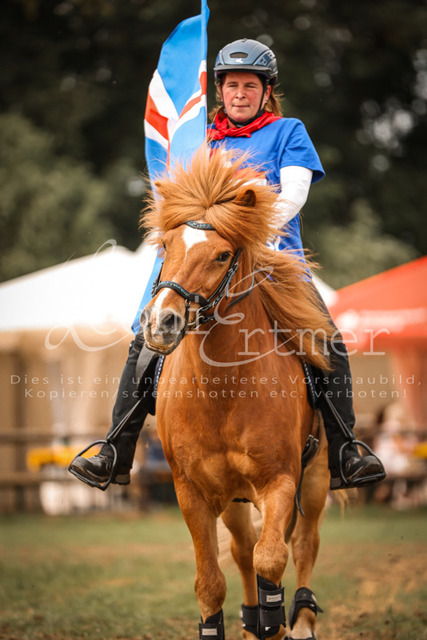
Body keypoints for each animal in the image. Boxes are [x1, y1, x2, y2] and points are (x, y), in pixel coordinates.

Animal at [139, 147, 334, 640]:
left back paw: (302, 621)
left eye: (222, 254)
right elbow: (210, 582)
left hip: (316, 477)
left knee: (304, 543)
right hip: (233, 498)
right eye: (166, 246)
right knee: (245, 548)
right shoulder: (192, 491)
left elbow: (273, 560)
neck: (222, 394)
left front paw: (277, 623)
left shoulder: (280, 480)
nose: (161, 323)